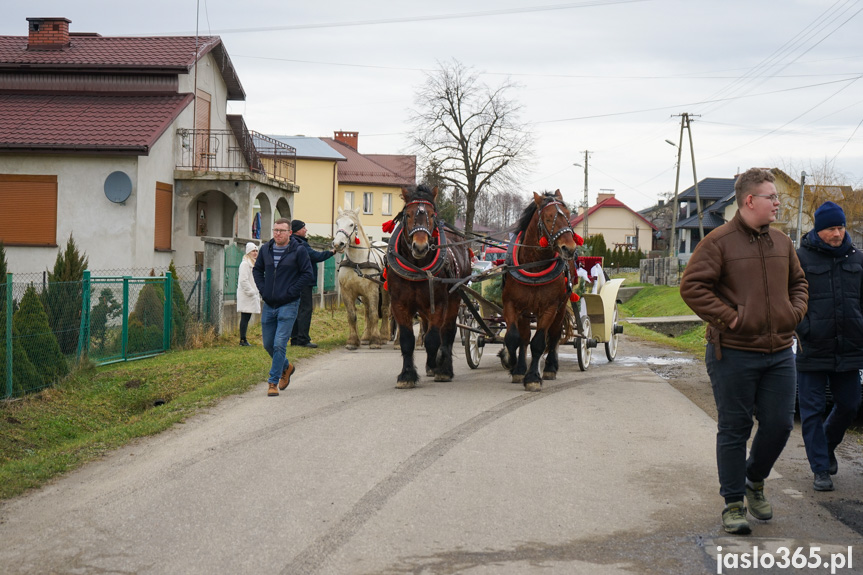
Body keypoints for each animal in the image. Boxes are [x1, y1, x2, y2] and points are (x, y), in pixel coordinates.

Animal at [330, 208, 392, 352]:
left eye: (351, 224)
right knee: (367, 311)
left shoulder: (372, 291)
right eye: (337, 223)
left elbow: (374, 315)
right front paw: (353, 341)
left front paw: (375, 341)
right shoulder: (347, 292)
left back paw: (384, 336)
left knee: (384, 310)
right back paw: (366, 337)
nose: (337, 244)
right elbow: (352, 316)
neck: (357, 263)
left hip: (384, 290)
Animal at [386, 187, 470, 390]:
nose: (420, 246)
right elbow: (407, 340)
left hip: (454, 298)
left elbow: (433, 339)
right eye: (408, 214)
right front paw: (407, 375)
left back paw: (444, 368)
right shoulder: (399, 303)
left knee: (447, 331)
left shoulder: (439, 303)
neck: (417, 266)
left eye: (432, 215)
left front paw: (437, 365)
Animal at [496, 191, 576, 394]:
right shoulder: (511, 305)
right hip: (526, 311)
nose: (569, 248)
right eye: (548, 218)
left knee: (554, 335)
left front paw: (532, 378)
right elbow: (513, 337)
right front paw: (510, 361)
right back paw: (519, 368)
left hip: (560, 307)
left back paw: (550, 368)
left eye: (568, 215)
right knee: (524, 338)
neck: (534, 266)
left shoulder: (549, 308)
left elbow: (539, 342)